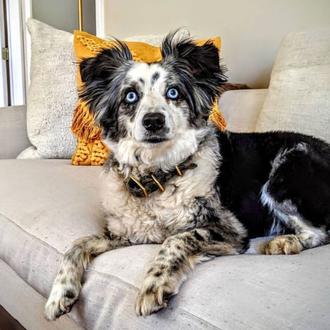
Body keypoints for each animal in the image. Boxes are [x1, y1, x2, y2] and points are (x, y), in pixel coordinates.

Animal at [44, 31, 330, 320]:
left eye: (173, 92)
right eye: (130, 96)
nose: (154, 121)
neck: (157, 176)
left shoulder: (230, 230)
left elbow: (177, 238)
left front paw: (155, 284)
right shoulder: (128, 233)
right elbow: (78, 243)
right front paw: (60, 292)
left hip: (285, 170)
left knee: (320, 232)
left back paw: (285, 242)